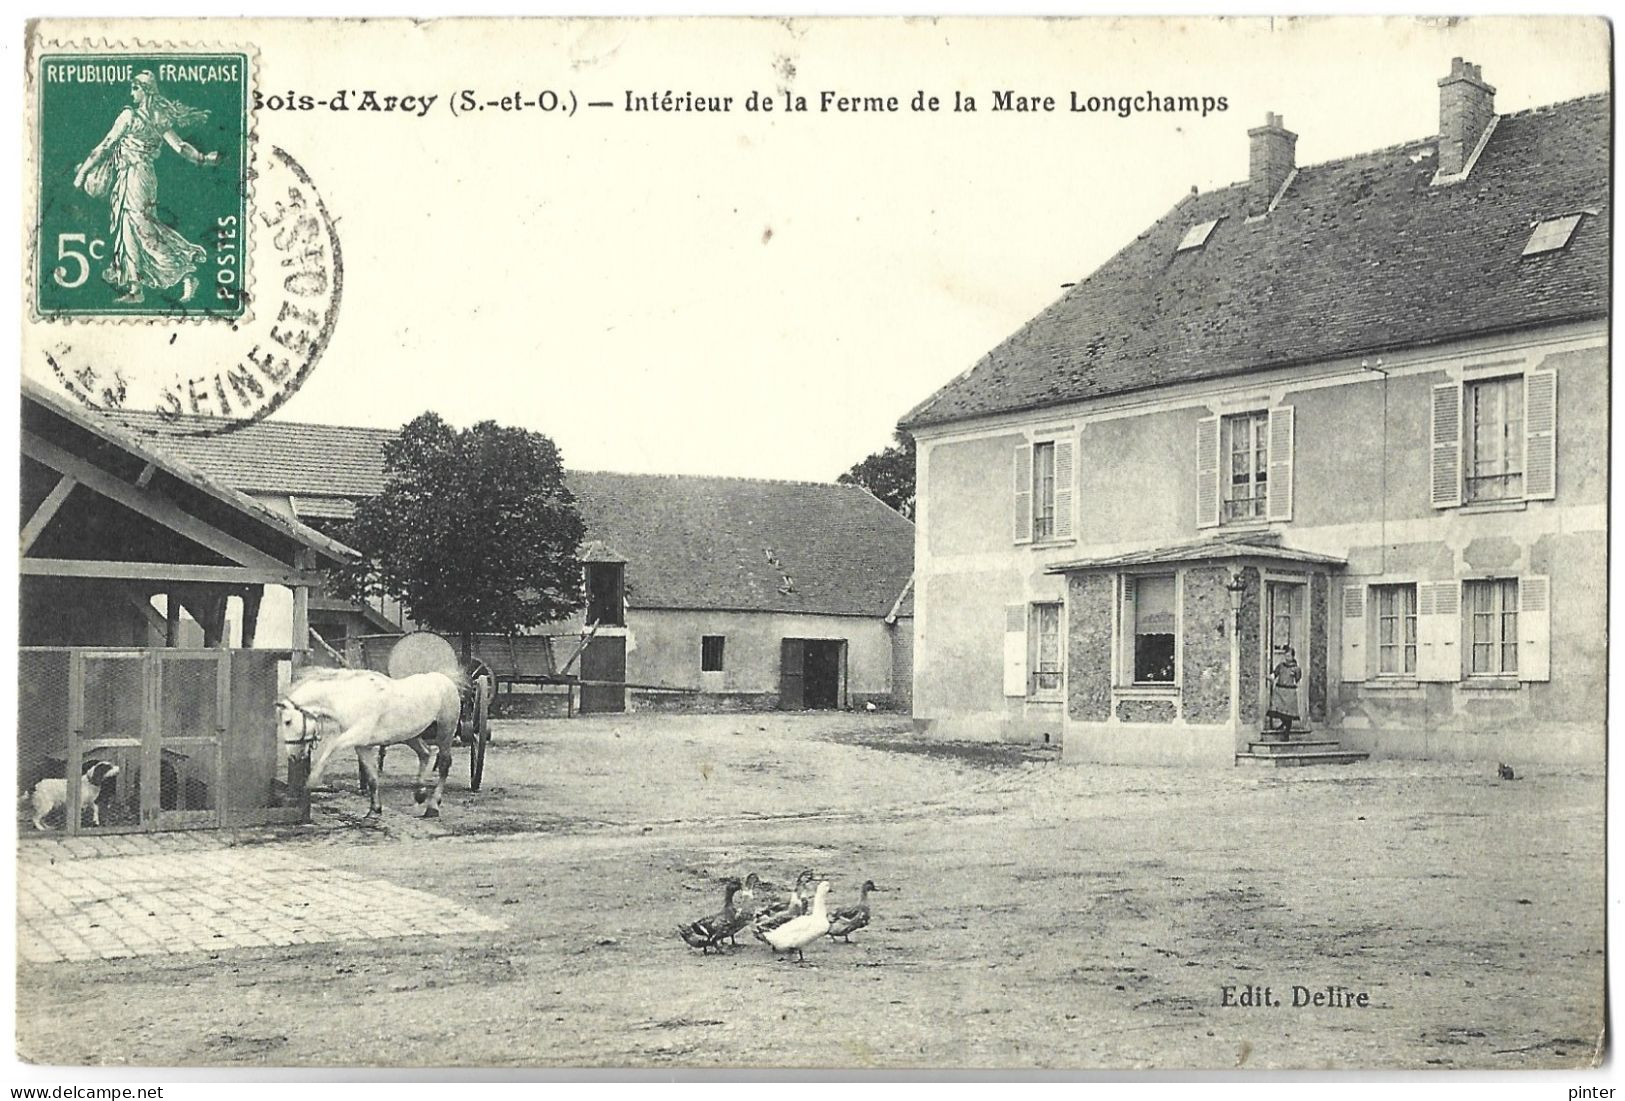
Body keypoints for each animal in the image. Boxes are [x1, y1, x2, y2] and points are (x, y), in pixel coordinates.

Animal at [277, 665, 468, 818]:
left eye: (287, 721)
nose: (293, 756)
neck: (350, 698)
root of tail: (447, 680)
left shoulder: (356, 736)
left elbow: (331, 748)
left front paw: (312, 781)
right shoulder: (362, 746)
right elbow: (372, 777)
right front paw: (374, 810)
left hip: (445, 733)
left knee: (443, 765)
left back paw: (433, 806)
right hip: (410, 735)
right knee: (425, 753)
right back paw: (420, 793)